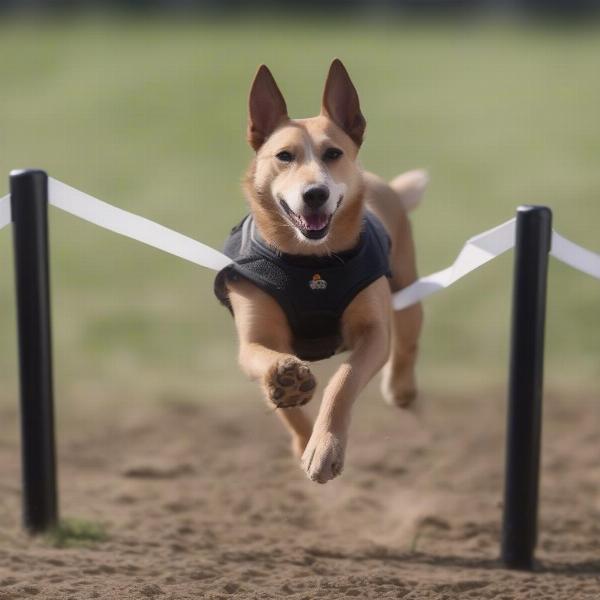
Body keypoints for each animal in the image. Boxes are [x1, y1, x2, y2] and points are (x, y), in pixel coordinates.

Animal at [213, 59, 424, 482]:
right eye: (284, 156)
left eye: (333, 153)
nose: (314, 194)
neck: (309, 262)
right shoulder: (254, 338)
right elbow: (269, 373)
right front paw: (290, 393)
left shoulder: (372, 332)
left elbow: (343, 381)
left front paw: (324, 449)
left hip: (406, 284)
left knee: (408, 335)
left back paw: (401, 388)